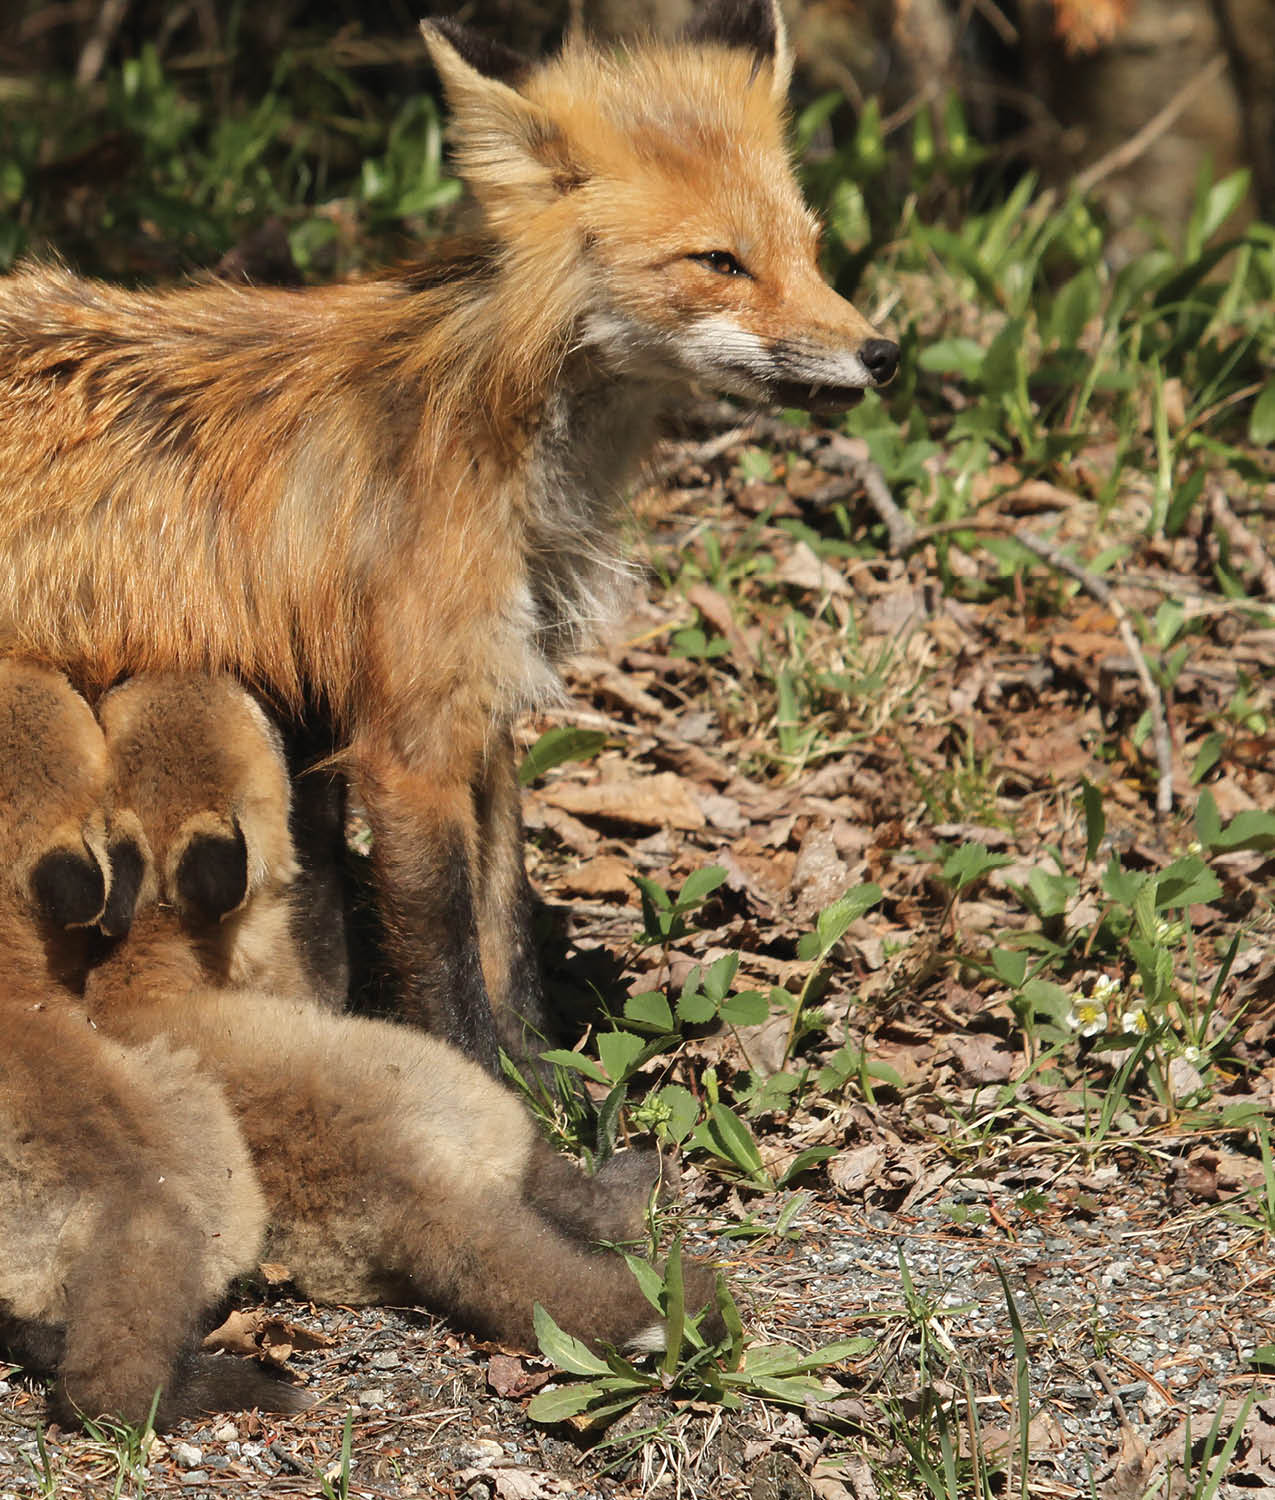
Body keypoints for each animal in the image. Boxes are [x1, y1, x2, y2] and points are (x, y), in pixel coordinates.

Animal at [0, 2, 894, 1080]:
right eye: (719, 262)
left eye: (813, 250)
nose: (884, 354)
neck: (505, 450)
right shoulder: (411, 741)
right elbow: (448, 961)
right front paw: (501, 1101)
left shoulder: (489, 701)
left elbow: (506, 932)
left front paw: (547, 1082)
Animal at [87, 675, 714, 1356]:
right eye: (255, 720)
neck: (148, 960)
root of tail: (406, 1188)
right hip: (487, 1102)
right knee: (576, 1196)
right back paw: (643, 1177)